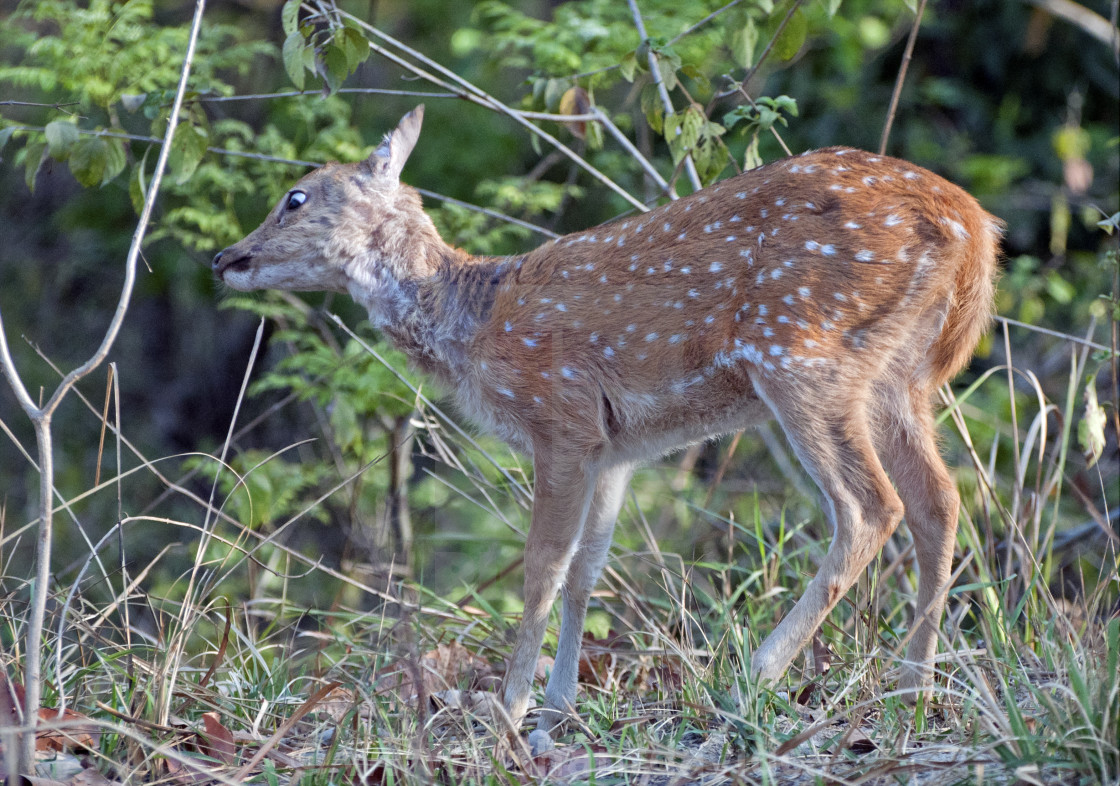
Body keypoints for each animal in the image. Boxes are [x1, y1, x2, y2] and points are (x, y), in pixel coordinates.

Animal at [213, 106, 1003, 743]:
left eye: (295, 197)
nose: (225, 257)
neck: (477, 325)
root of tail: (974, 227)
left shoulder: (559, 417)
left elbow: (541, 568)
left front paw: (508, 709)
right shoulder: (617, 448)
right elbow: (587, 573)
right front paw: (557, 706)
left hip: (804, 354)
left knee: (871, 507)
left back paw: (754, 676)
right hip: (901, 378)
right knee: (940, 501)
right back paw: (912, 690)